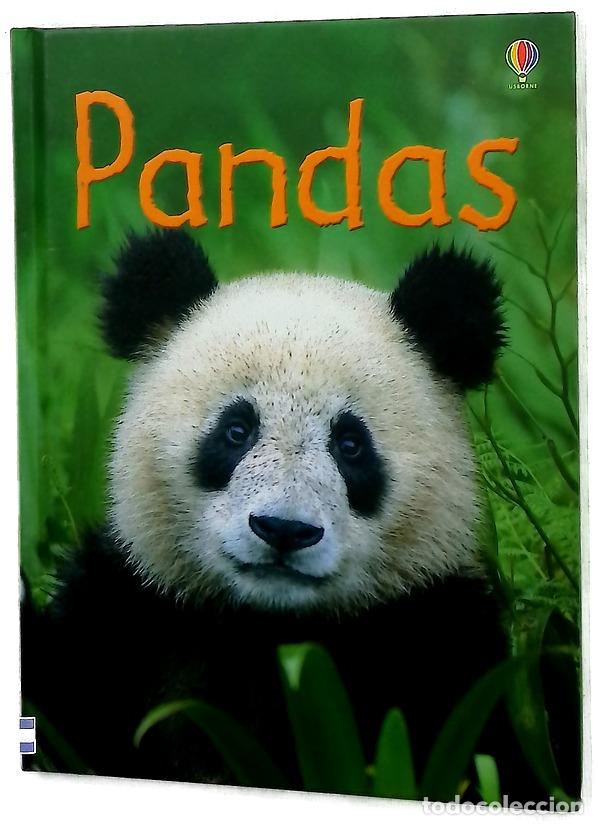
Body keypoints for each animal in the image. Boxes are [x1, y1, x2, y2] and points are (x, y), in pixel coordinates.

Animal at [23, 228, 531, 794]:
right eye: (236, 430)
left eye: (350, 445)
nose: (284, 530)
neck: (270, 632)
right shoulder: (132, 613)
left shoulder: (443, 645)